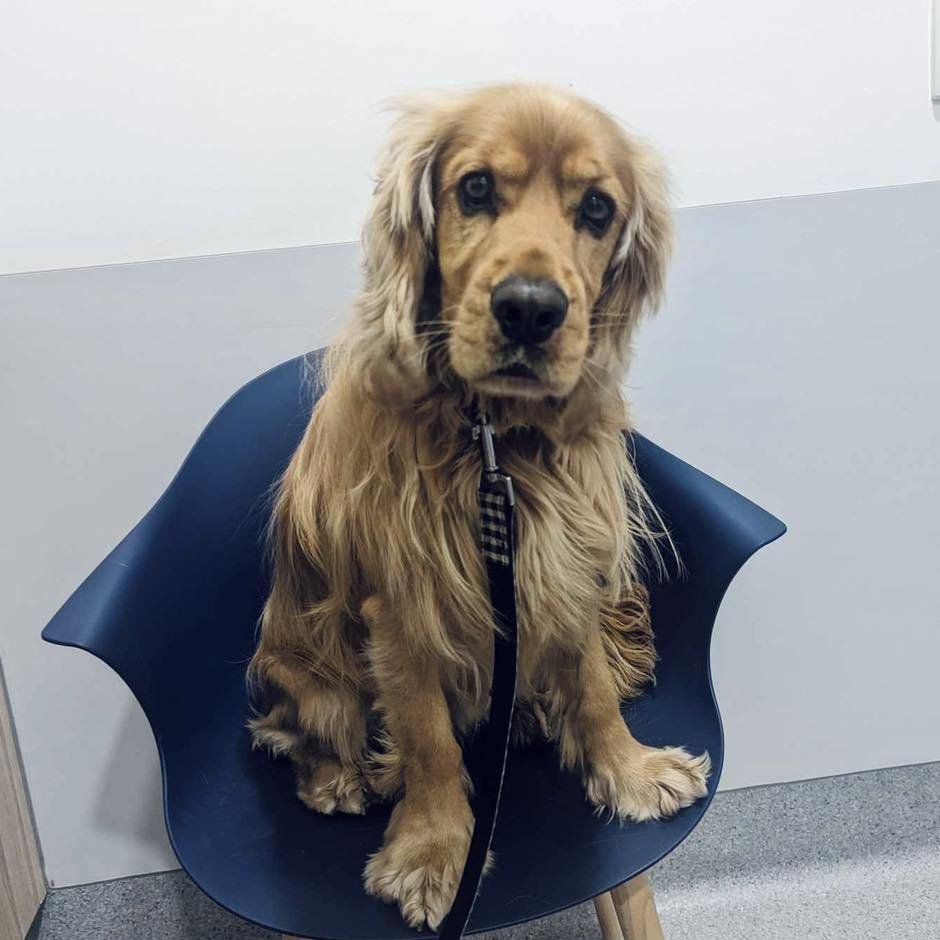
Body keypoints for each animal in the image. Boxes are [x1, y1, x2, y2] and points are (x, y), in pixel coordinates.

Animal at [246, 82, 708, 932]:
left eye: (598, 208)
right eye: (476, 188)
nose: (530, 309)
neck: (493, 440)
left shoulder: (564, 561)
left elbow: (594, 683)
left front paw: (628, 770)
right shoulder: (401, 604)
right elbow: (427, 736)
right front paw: (432, 855)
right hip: (305, 670)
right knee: (302, 729)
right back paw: (340, 778)